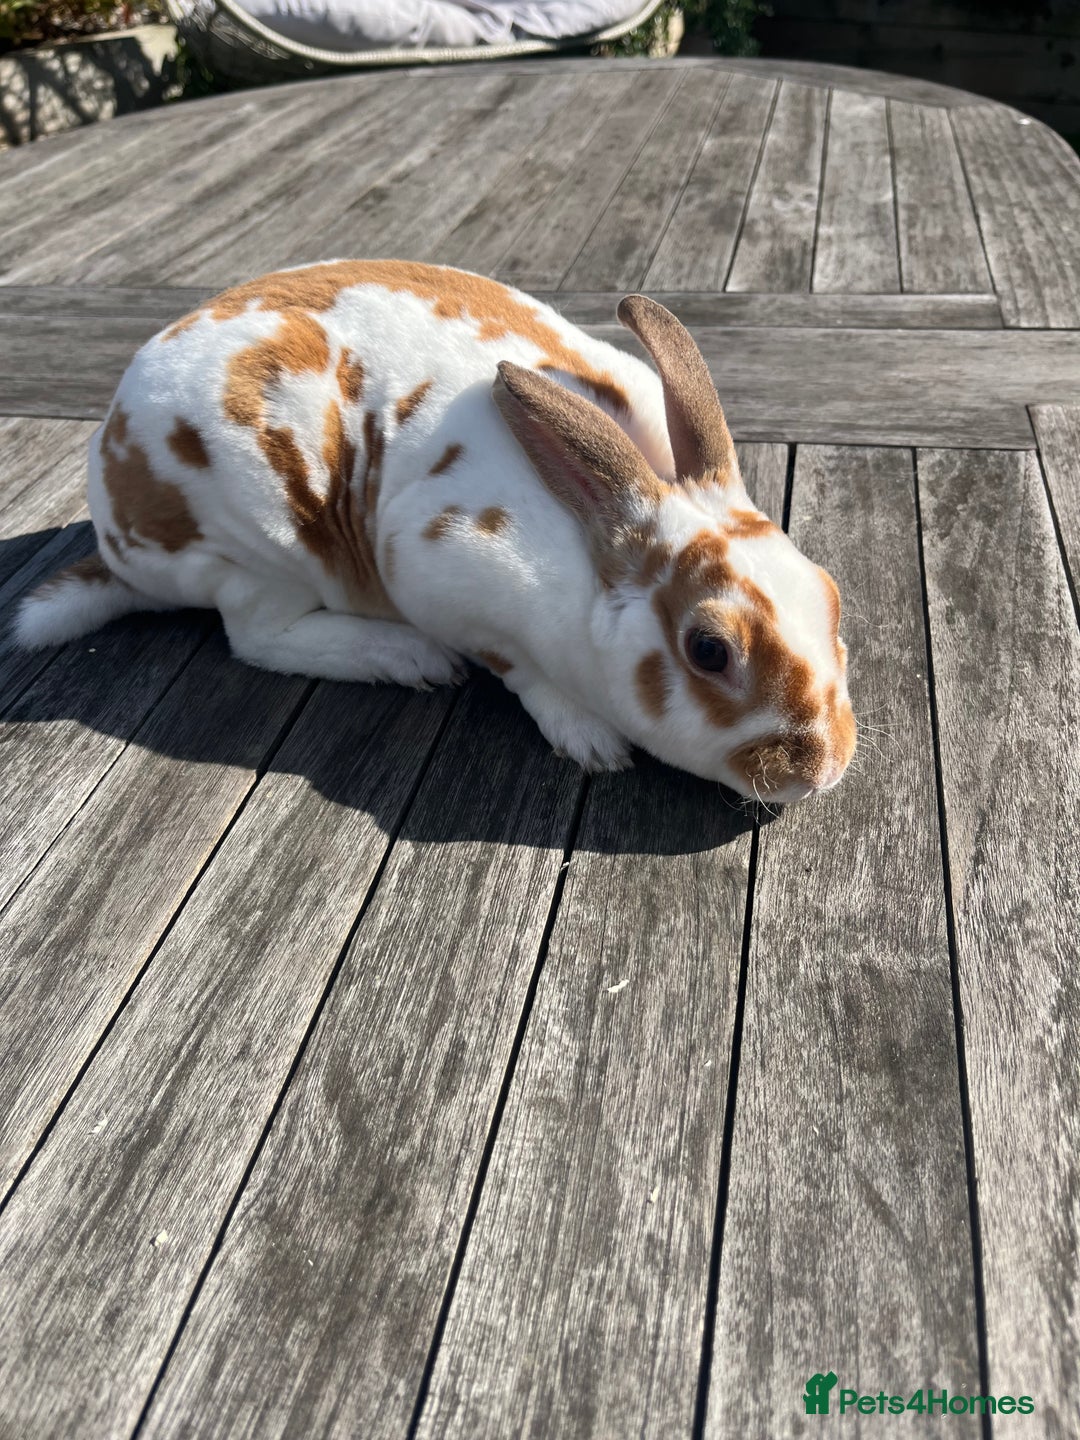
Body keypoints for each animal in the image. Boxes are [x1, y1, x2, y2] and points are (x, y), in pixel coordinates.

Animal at [15, 260, 855, 802]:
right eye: (709, 651)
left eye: (831, 595)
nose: (822, 768)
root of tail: (113, 534)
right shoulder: (444, 574)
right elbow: (518, 671)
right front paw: (588, 738)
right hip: (258, 546)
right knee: (256, 635)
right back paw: (405, 657)